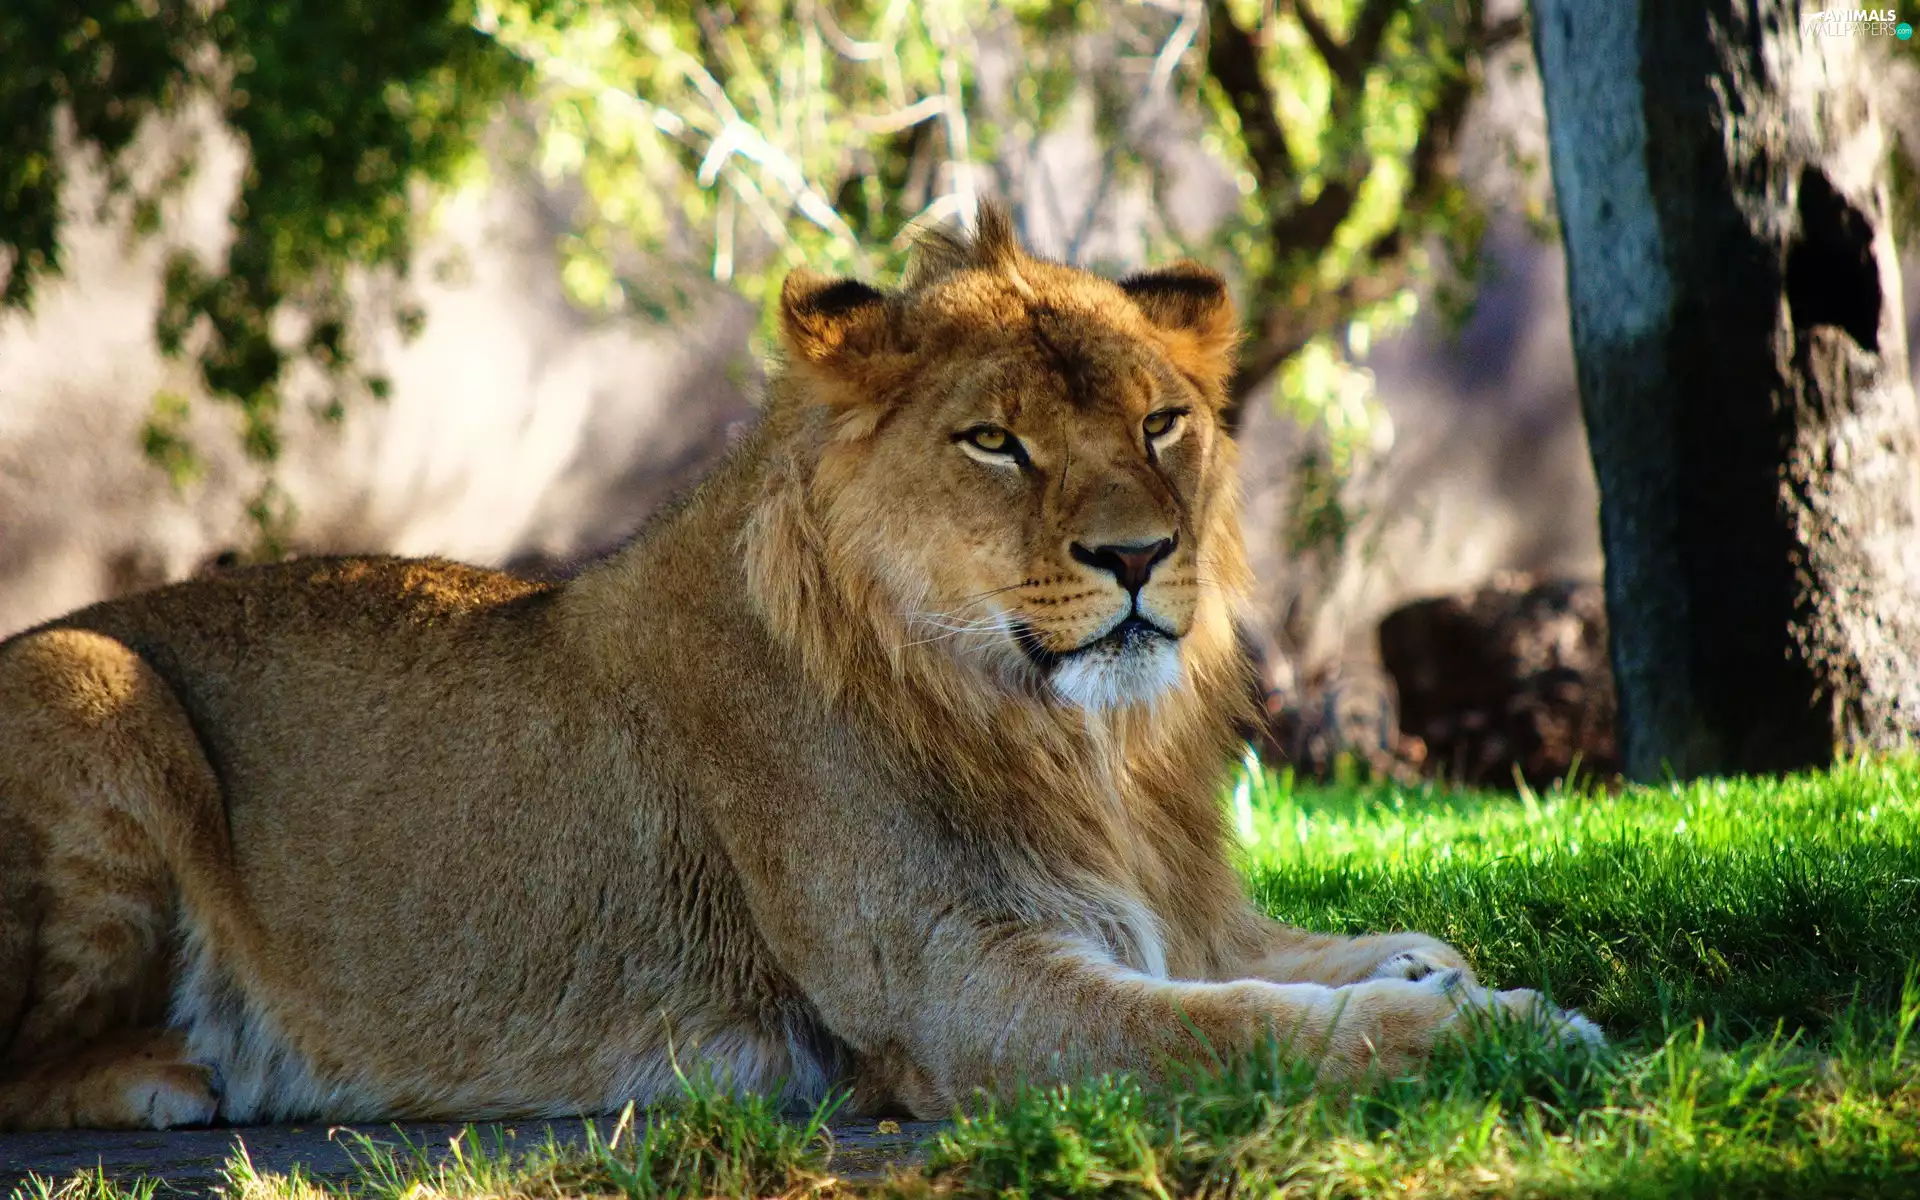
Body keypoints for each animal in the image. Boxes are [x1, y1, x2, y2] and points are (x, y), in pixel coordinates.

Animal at [0, 208, 1597, 1131]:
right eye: (994, 441)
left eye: (1160, 423)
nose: (1143, 556)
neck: (1071, 742)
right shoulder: (957, 994)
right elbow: (1247, 1031)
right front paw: (1505, 1028)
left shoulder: (1154, 906)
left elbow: (1313, 957)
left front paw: (1437, 968)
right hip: (93, 687)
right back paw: (181, 1074)